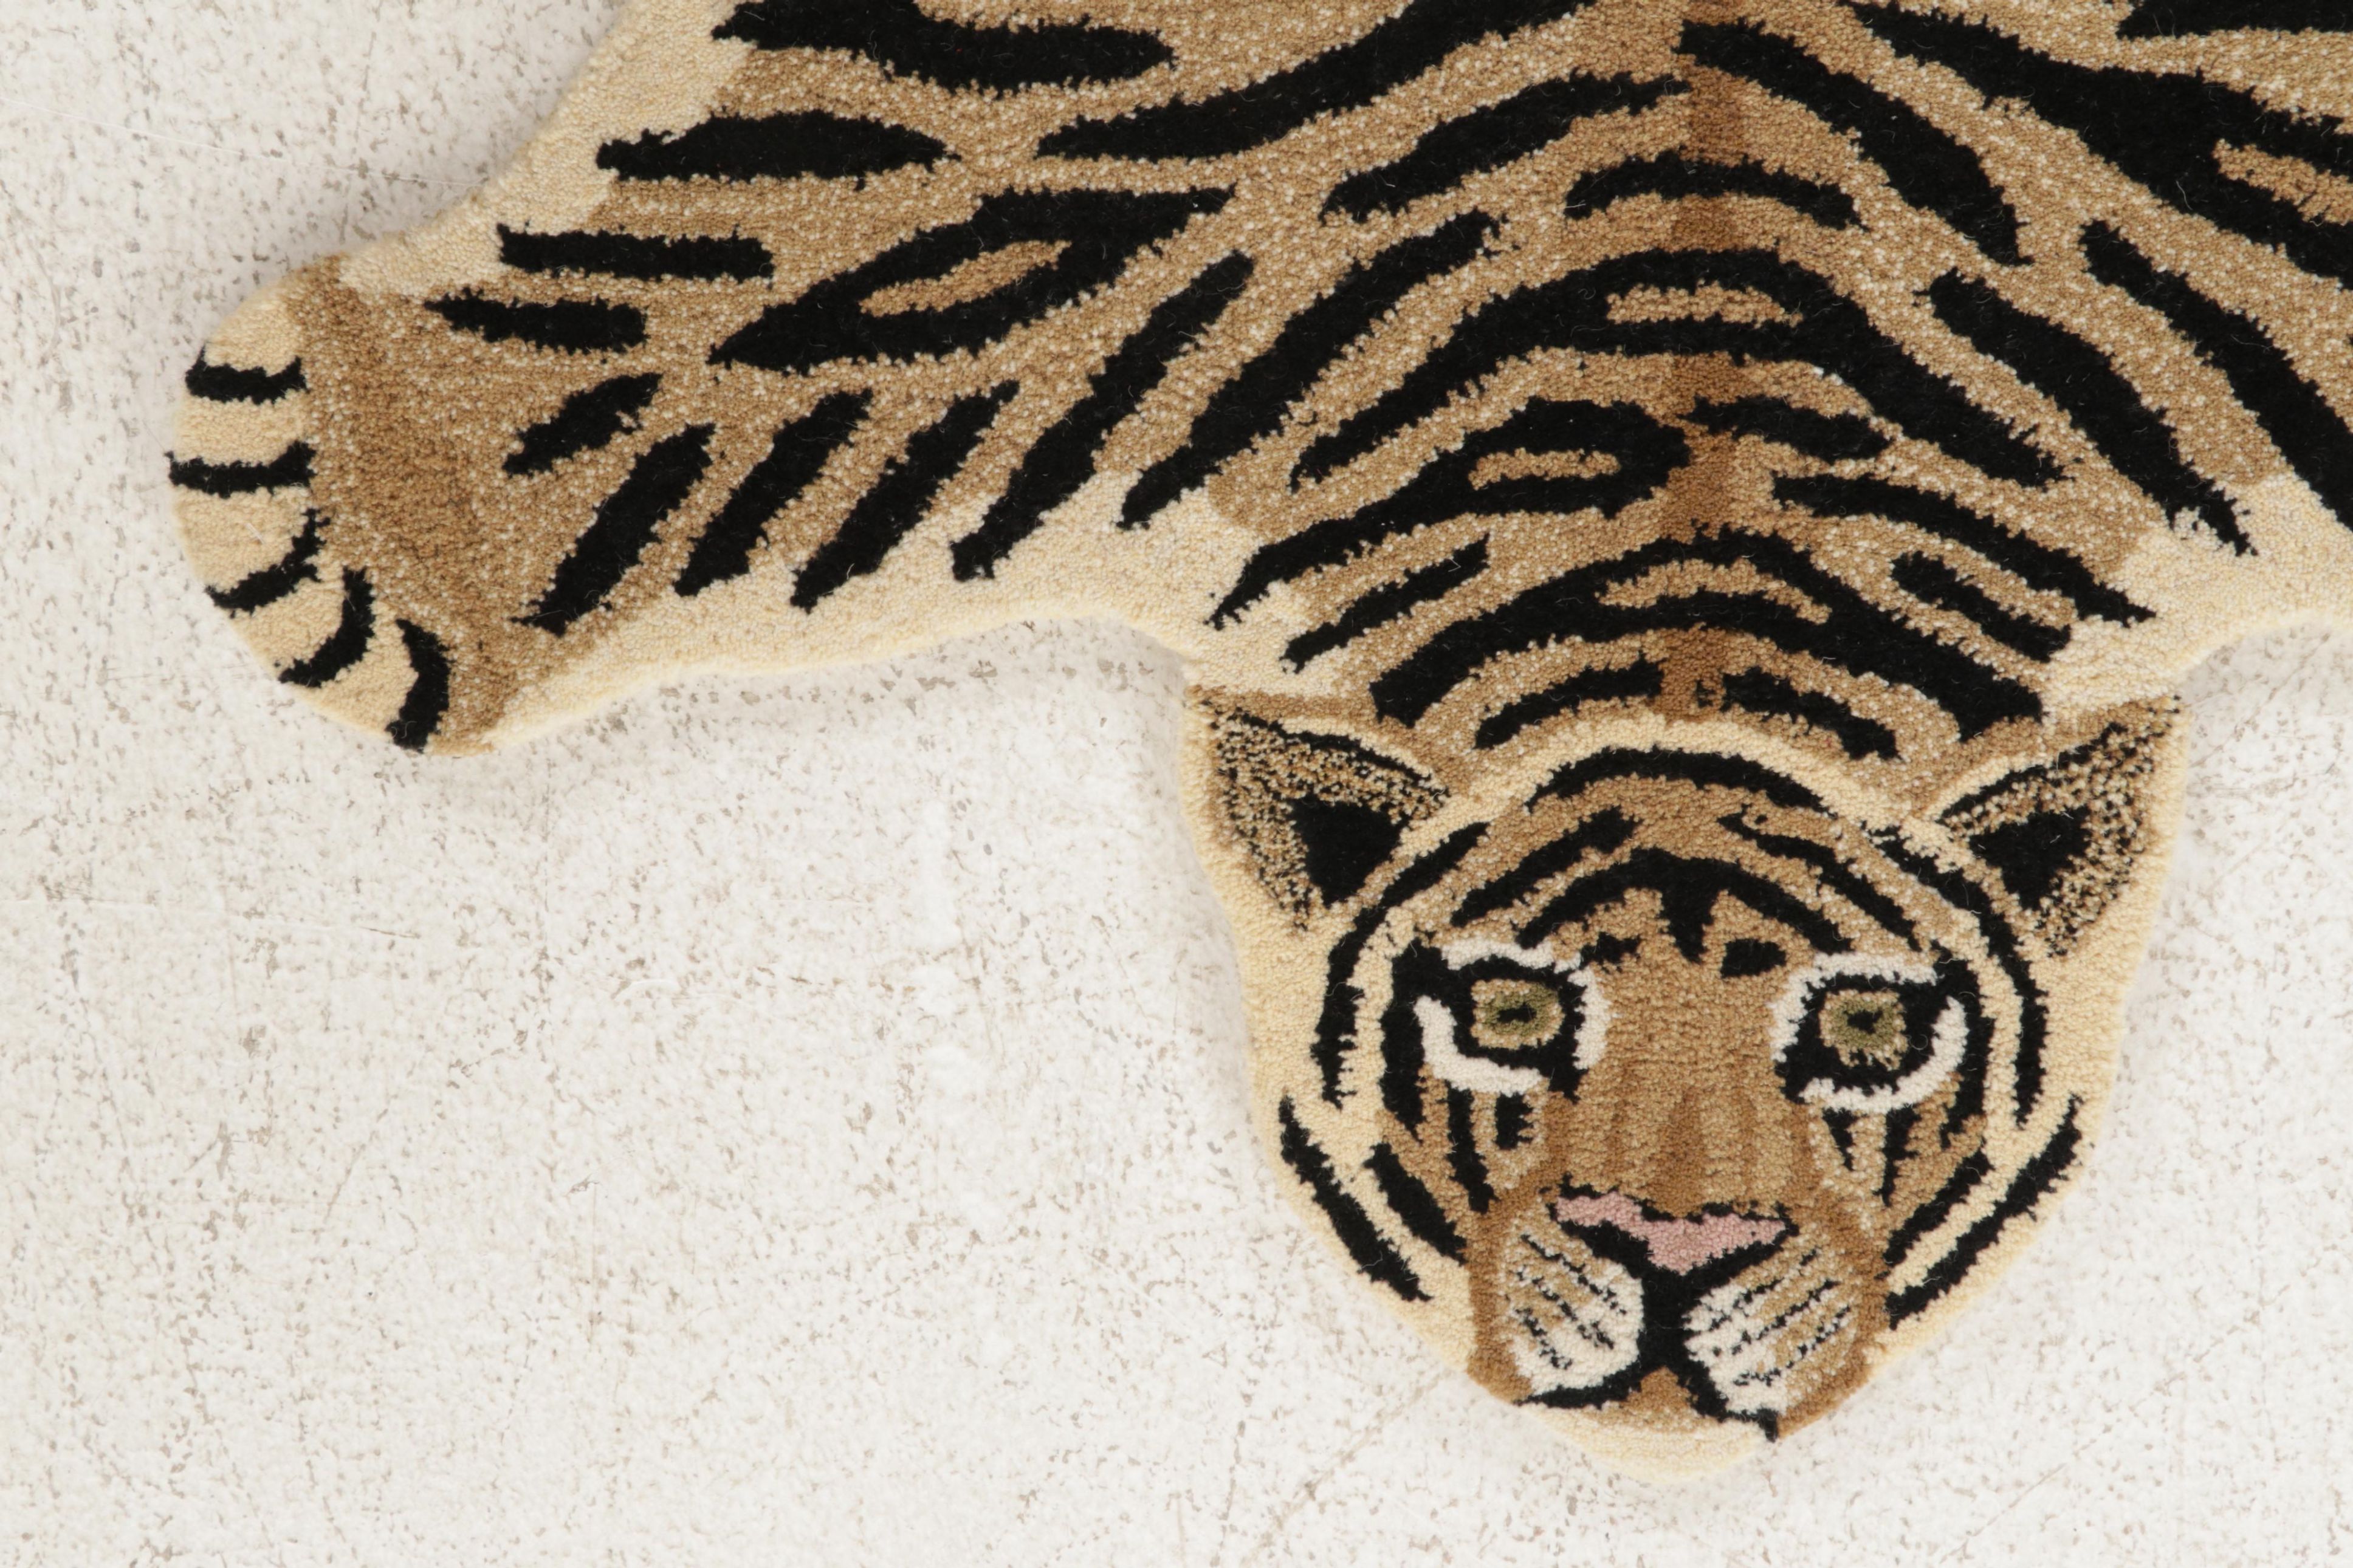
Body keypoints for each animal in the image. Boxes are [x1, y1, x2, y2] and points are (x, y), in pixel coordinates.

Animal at [167, 0, 2353, 1473]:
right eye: (1513, 1014)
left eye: (1872, 1035)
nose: (1672, 1254)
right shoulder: (1035, 157)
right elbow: (751, 285)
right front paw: (336, 478)